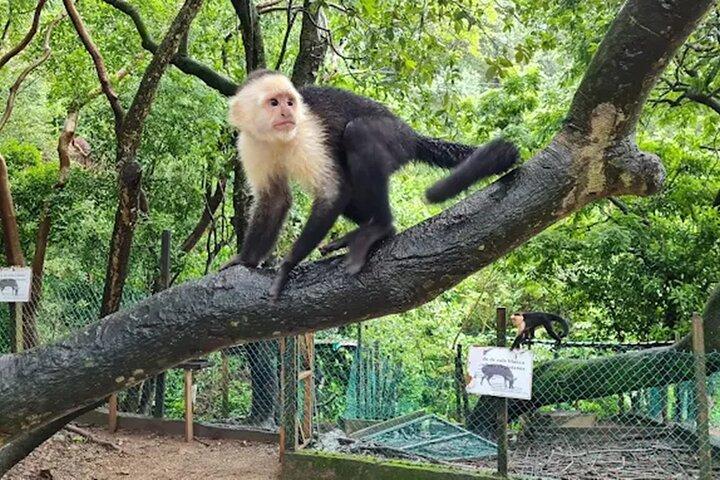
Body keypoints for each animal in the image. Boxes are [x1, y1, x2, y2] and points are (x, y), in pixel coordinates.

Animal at [222, 69, 520, 300]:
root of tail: (410, 134)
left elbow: (332, 192)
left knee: (359, 133)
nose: (286, 112)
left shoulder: (306, 133)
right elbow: (274, 199)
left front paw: (287, 266)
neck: (279, 138)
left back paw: (380, 227)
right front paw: (246, 259)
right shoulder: (250, 143)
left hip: (395, 140)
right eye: (274, 103)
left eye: (290, 102)